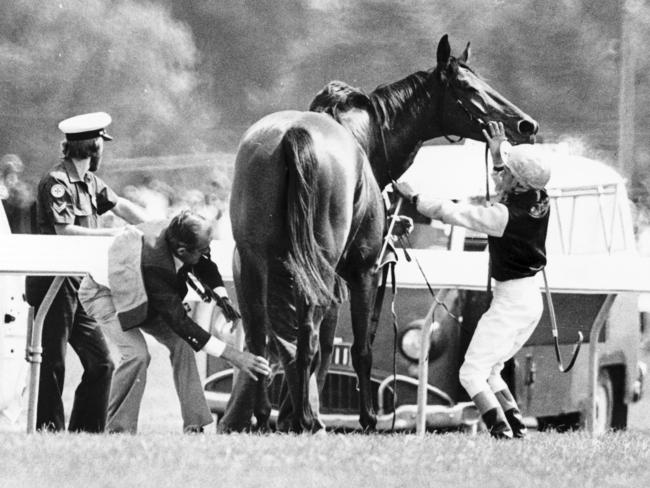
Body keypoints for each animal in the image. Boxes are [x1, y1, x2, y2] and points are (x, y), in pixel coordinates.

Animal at [218, 34, 536, 432]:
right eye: (468, 87)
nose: (526, 126)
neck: (361, 140)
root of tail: (294, 135)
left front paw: (289, 412)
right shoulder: (362, 272)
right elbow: (358, 347)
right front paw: (364, 418)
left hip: (252, 264)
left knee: (262, 336)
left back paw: (261, 415)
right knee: (306, 335)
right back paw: (307, 418)